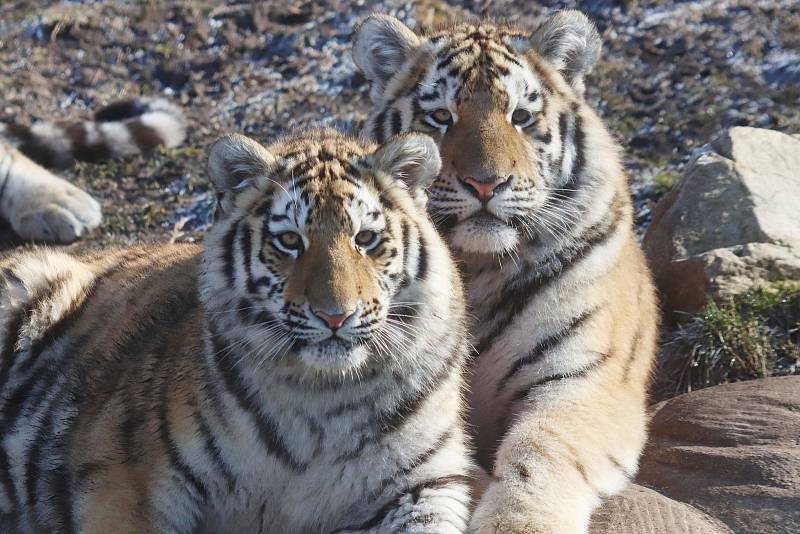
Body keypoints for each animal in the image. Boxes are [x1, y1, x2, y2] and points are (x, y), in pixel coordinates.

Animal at [0, 130, 476, 534]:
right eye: (290, 241)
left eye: (366, 238)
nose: (335, 316)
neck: (325, 399)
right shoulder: (123, 475)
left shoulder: (426, 486)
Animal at [354, 9, 660, 534]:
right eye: (441, 117)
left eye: (520, 117)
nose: (485, 183)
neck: (478, 269)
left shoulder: (585, 377)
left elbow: (542, 448)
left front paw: (519, 523)